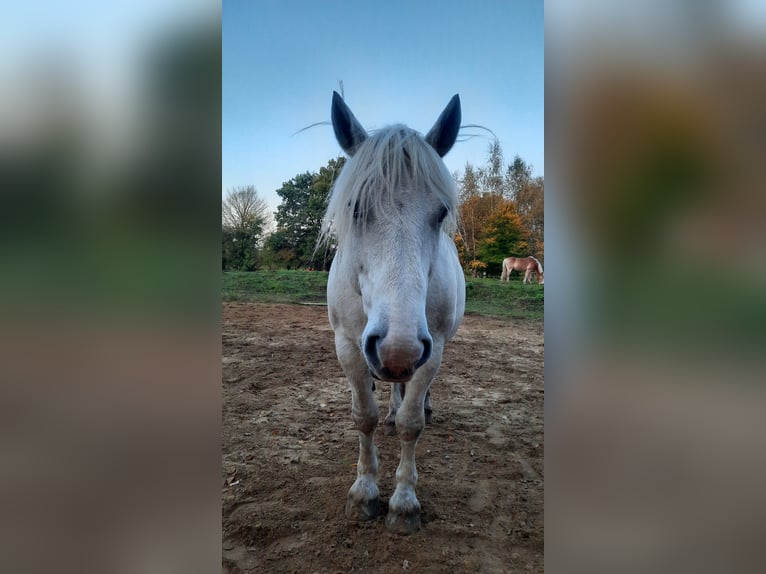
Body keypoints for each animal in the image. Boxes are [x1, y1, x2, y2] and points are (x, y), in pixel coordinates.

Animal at [320, 91, 464, 536]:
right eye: (354, 207)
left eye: (441, 213)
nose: (398, 349)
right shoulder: (349, 346)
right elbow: (363, 417)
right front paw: (364, 493)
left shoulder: (430, 350)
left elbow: (411, 424)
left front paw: (403, 503)